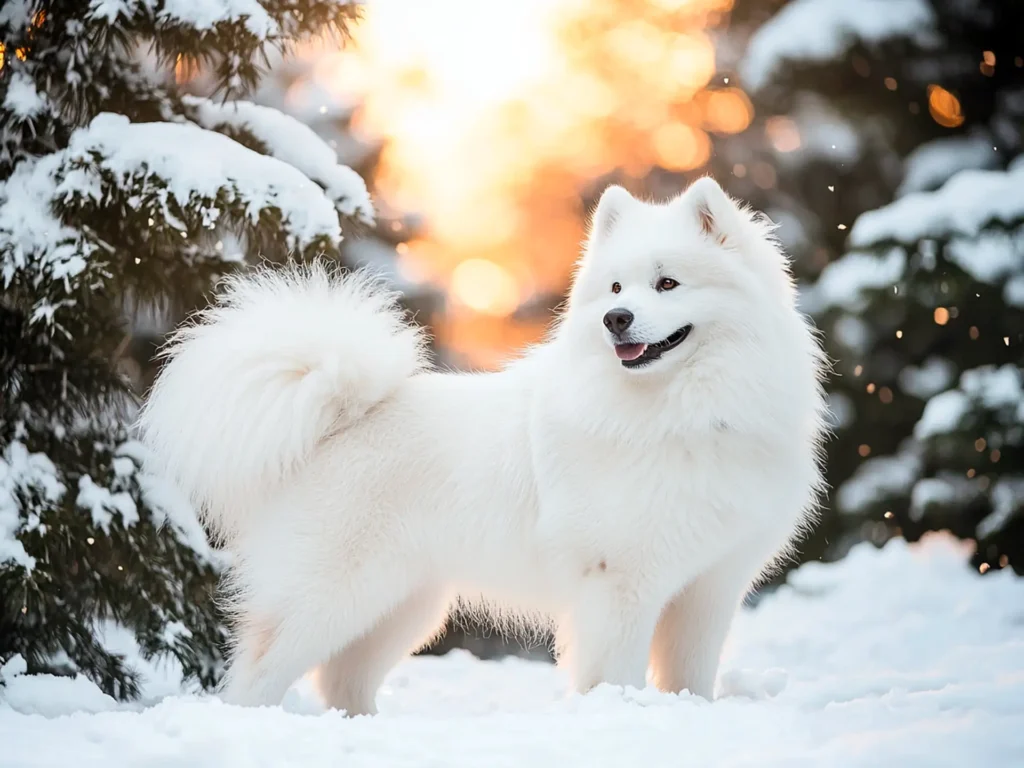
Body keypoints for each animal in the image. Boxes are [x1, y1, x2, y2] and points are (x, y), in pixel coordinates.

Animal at [142, 179, 831, 716]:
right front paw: (619, 713)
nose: (617, 320)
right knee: (260, 667)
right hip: (332, 592)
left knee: (343, 678)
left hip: (404, 602)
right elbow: (614, 673)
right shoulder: (621, 582)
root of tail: (336, 417)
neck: (683, 411)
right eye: (614, 289)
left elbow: (690, 675)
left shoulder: (710, 585)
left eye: (667, 283)